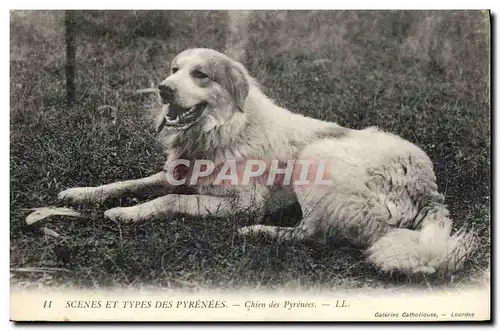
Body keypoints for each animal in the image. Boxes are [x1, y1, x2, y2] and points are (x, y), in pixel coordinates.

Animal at [56, 46, 474, 274]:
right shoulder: (176, 175)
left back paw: (259, 232)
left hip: (316, 157)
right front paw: (82, 193)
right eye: (174, 70)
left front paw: (127, 213)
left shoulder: (241, 203)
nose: (163, 88)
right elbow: (127, 183)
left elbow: (168, 200)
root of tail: (430, 189)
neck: (223, 130)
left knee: (312, 234)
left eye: (200, 74)